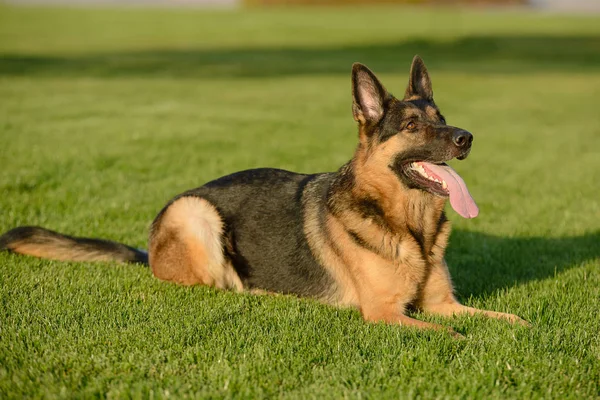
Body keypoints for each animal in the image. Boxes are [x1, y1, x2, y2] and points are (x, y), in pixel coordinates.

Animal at [0, 55, 524, 334]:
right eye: (413, 126)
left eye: (441, 119)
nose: (466, 138)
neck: (408, 225)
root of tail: (148, 249)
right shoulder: (384, 315)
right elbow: (453, 333)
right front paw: (473, 341)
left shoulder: (442, 303)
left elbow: (502, 318)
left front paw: (520, 330)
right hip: (196, 214)